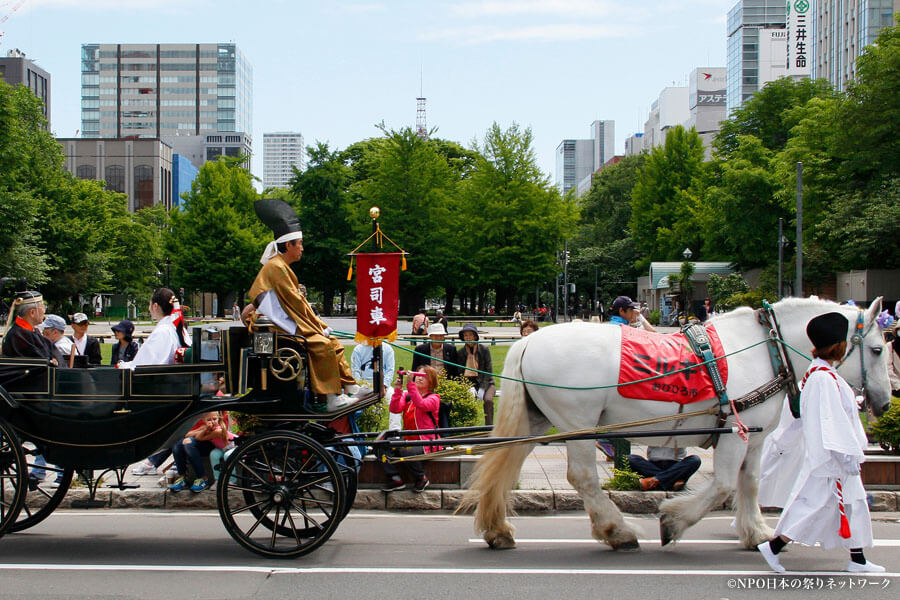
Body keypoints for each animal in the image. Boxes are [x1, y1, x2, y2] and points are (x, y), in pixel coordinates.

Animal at [464, 298, 892, 552]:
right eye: (876, 349)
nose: (885, 403)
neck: (766, 348)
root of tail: (527, 341)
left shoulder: (754, 437)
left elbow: (750, 482)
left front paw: (756, 532)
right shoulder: (734, 431)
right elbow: (723, 484)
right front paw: (674, 520)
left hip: (539, 420)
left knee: (505, 463)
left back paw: (497, 529)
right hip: (578, 423)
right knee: (582, 477)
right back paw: (616, 530)